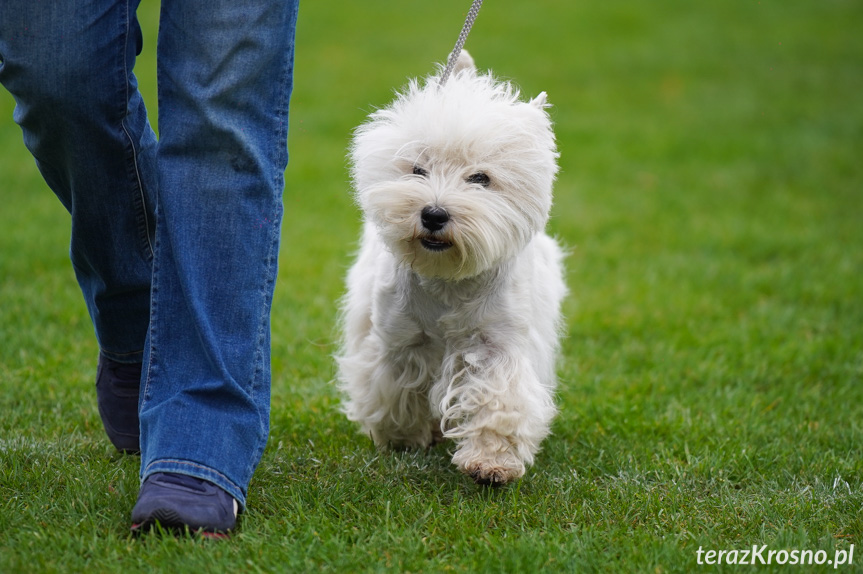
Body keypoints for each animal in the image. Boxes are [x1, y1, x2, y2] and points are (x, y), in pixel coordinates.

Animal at [338, 53, 568, 486]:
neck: (448, 279)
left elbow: (499, 402)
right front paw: (402, 438)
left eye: (480, 178)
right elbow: (393, 387)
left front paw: (491, 463)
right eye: (417, 169)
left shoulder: (499, 346)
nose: (433, 214)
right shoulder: (399, 341)